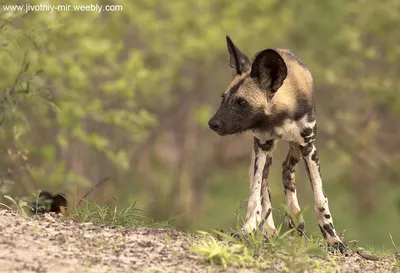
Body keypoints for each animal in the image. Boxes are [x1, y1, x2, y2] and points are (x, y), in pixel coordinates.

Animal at [209, 37, 344, 250]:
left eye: (241, 103)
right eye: (223, 99)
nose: (212, 123)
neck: (279, 116)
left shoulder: (309, 147)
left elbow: (320, 200)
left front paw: (333, 239)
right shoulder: (263, 145)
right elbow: (255, 197)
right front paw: (248, 230)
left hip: (295, 148)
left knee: (287, 170)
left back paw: (294, 219)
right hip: (264, 152)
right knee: (265, 189)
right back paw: (269, 231)